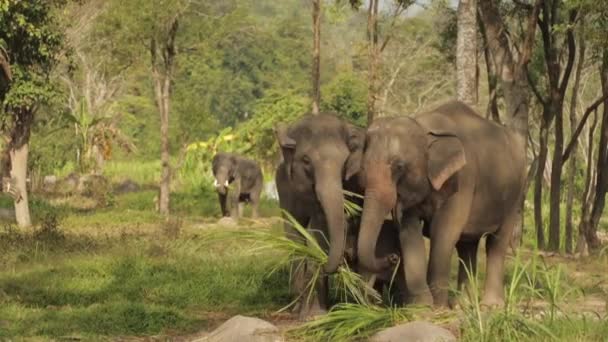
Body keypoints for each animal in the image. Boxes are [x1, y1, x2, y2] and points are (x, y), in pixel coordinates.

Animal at [356, 99, 528, 308]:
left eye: (399, 167)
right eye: (363, 166)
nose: (392, 257)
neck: (424, 127)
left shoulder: (462, 179)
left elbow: (444, 232)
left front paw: (438, 308)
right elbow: (409, 232)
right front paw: (422, 307)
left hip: (515, 194)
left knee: (496, 243)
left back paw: (491, 306)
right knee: (467, 247)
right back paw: (464, 305)